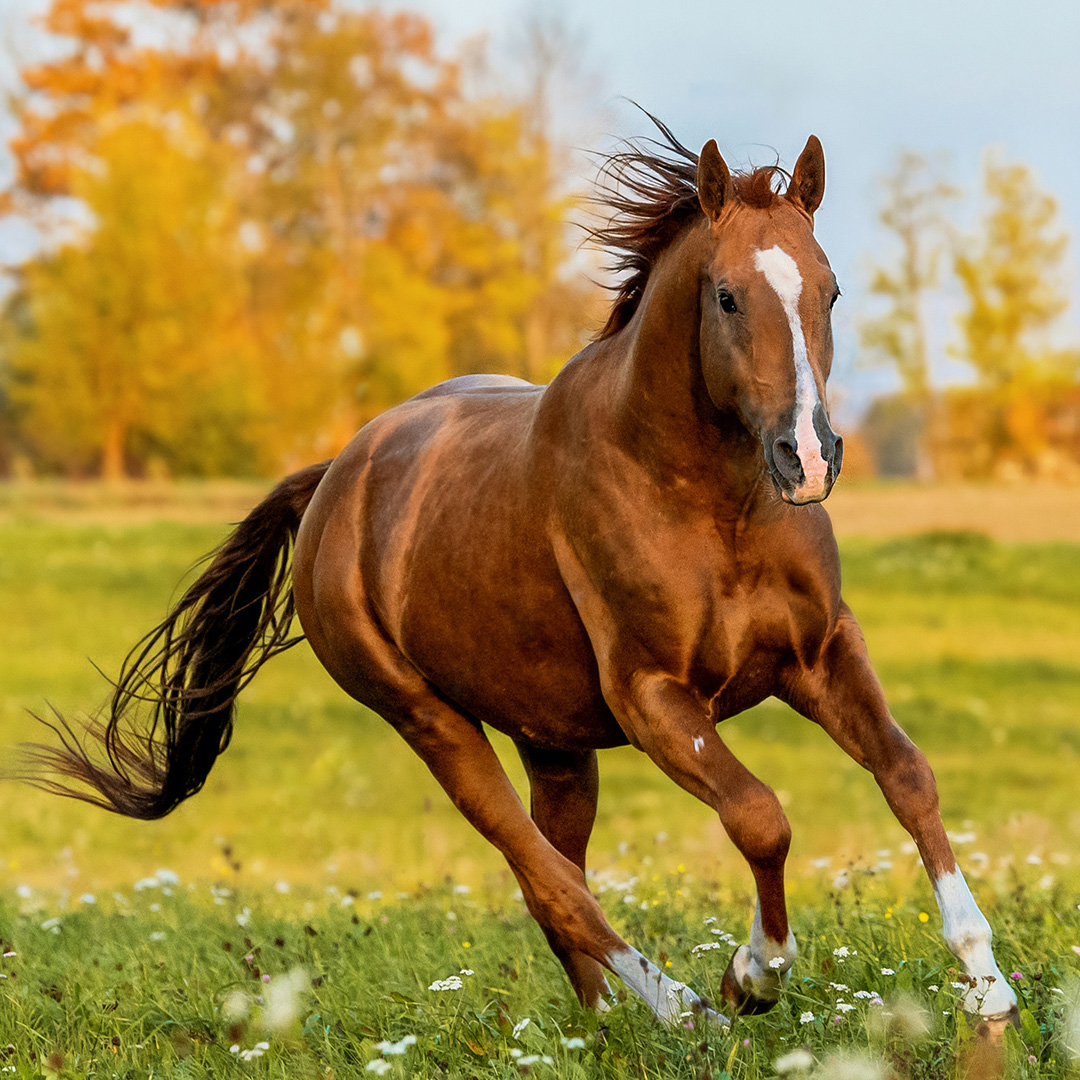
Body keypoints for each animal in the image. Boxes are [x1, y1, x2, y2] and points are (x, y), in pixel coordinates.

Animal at [23, 118, 1018, 1028]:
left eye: (831, 290)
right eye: (729, 297)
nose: (807, 457)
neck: (710, 504)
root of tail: (335, 478)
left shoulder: (820, 654)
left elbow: (907, 773)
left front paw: (987, 987)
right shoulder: (654, 698)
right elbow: (759, 816)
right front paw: (753, 976)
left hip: (555, 743)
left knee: (559, 874)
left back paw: (607, 1022)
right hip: (431, 723)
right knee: (551, 883)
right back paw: (682, 1011)